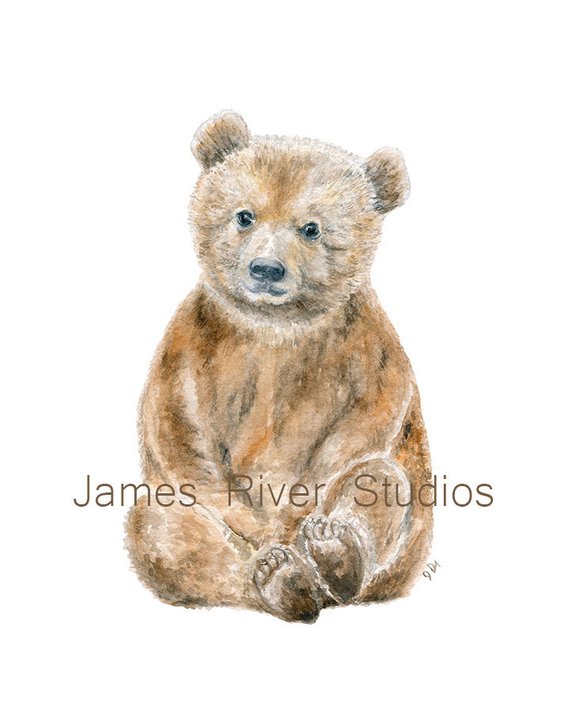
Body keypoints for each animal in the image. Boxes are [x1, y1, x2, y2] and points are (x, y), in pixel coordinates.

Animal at [126, 110, 433, 622]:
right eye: (244, 215)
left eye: (311, 228)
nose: (266, 269)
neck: (277, 325)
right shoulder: (195, 346)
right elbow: (184, 440)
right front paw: (268, 537)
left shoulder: (362, 346)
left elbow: (361, 428)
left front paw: (302, 523)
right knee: (162, 529)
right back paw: (281, 578)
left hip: (409, 546)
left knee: (380, 481)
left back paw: (333, 553)